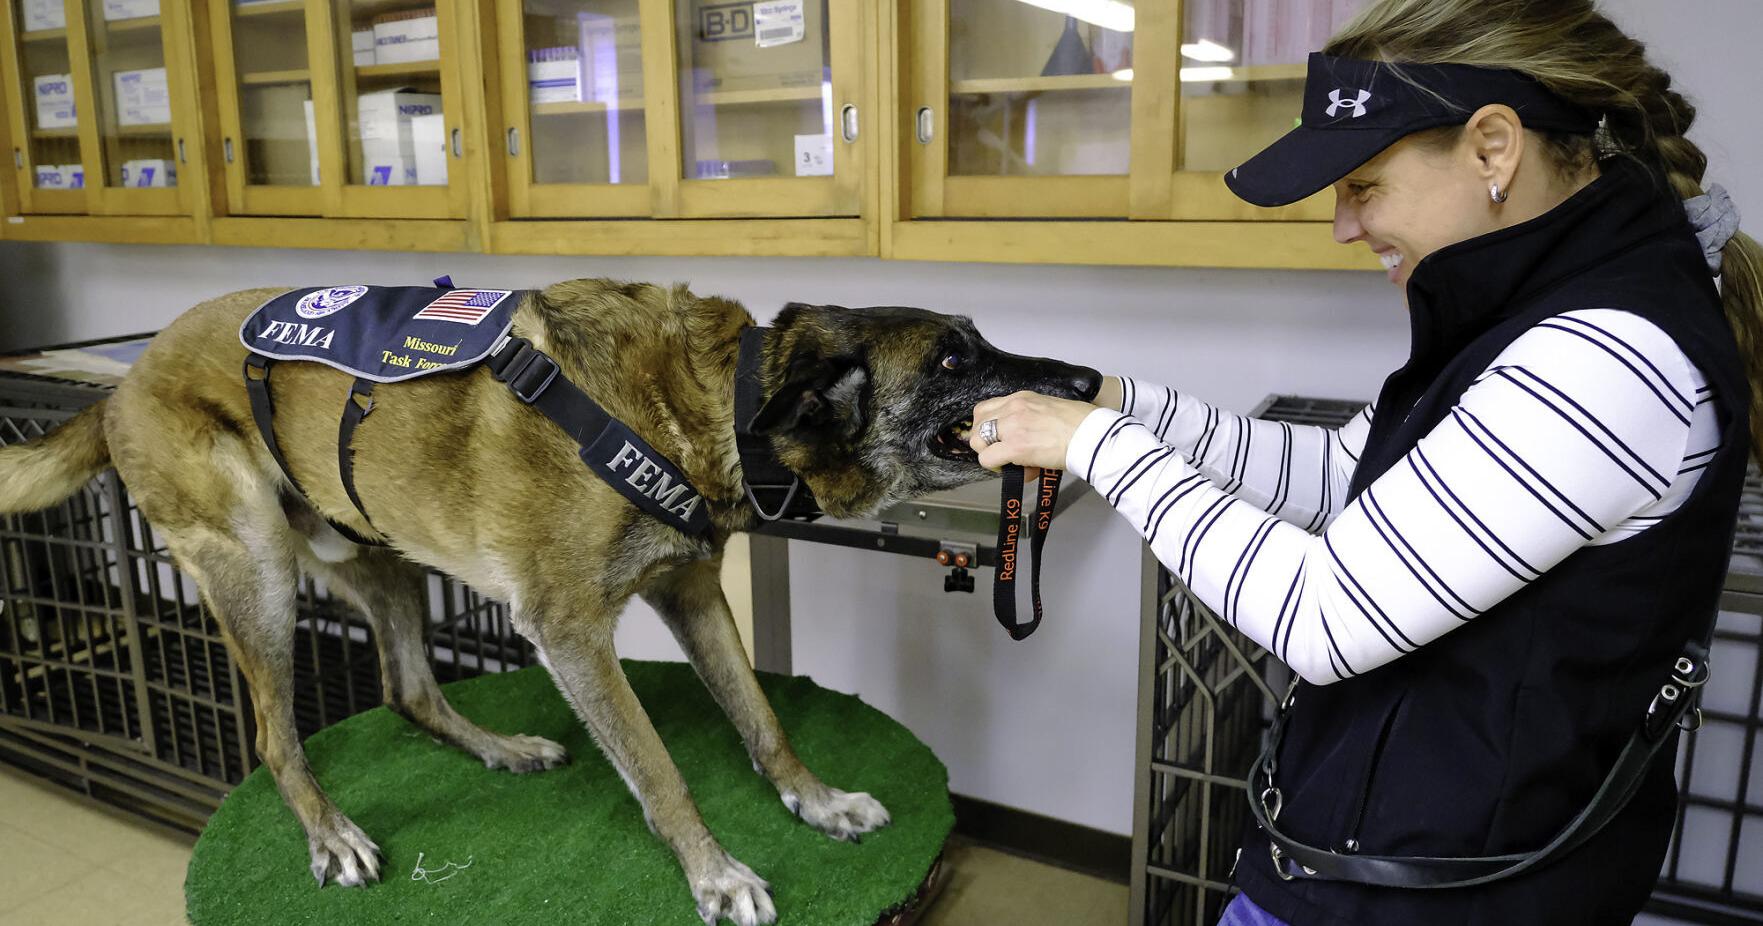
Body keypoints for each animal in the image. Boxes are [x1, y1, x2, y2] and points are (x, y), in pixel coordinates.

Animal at [0, 280, 1100, 924]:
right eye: (953, 359)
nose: (1088, 378)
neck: (709, 402)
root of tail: (122, 378)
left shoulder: (692, 593)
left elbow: (760, 718)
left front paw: (814, 799)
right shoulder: (570, 634)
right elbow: (659, 770)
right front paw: (715, 874)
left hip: (380, 548)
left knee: (407, 687)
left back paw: (500, 748)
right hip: (257, 567)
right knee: (274, 734)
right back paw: (331, 834)